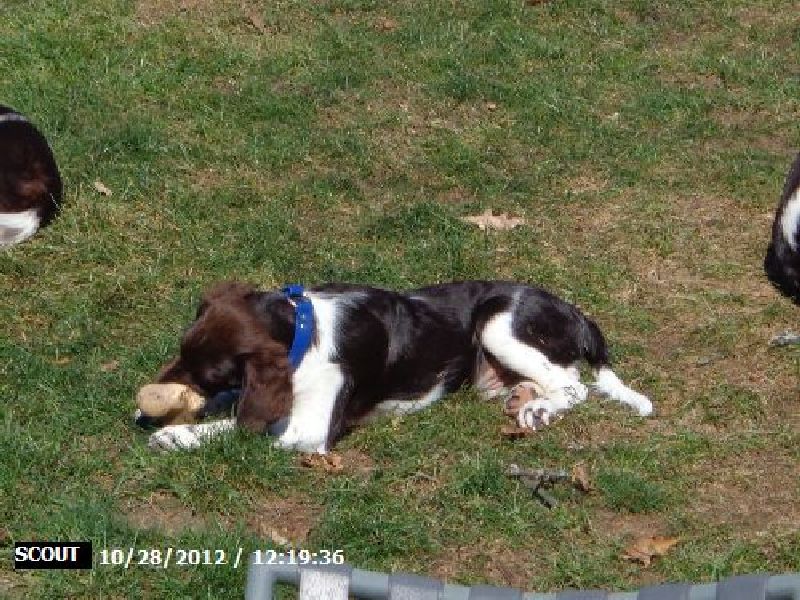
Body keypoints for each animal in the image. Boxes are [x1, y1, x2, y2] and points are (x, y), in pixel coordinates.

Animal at [142, 280, 652, 452]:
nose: (145, 403)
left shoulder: (311, 430)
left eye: (208, 373)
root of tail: (577, 313)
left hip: (497, 318)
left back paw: (538, 409)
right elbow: (241, 405)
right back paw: (523, 397)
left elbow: (243, 427)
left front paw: (177, 434)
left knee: (575, 385)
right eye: (180, 353)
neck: (304, 327)